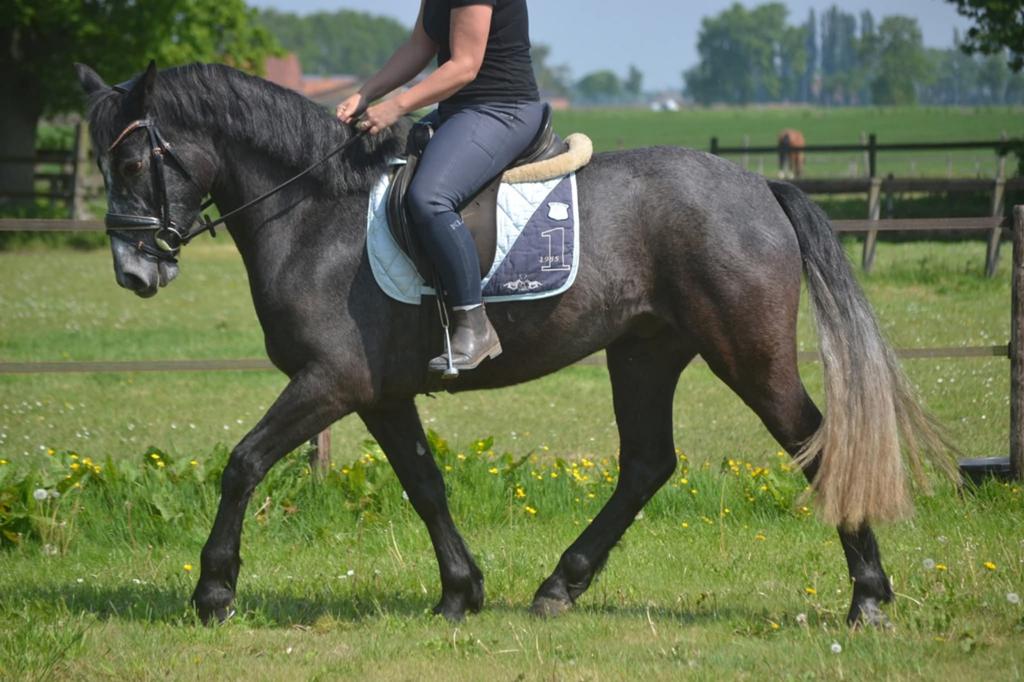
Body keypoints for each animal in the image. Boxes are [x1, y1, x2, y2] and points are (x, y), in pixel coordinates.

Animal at [75, 61, 951, 627]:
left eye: (133, 158)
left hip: (748, 353)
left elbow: (244, 463)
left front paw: (214, 593)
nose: (133, 271)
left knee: (813, 442)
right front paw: (460, 591)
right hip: (645, 351)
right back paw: (561, 585)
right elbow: (425, 485)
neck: (315, 213)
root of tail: (758, 186)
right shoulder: (382, 394)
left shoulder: (330, 382)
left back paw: (869, 595)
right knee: (647, 463)